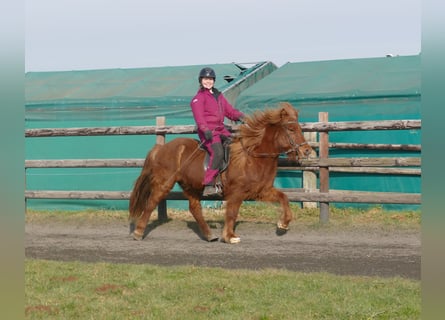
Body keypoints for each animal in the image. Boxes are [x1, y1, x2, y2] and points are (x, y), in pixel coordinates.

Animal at [128, 101, 312, 244]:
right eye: (291, 128)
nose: (307, 151)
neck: (252, 157)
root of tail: (161, 148)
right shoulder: (236, 193)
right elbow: (231, 213)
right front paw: (230, 236)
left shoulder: (262, 191)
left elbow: (284, 198)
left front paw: (284, 224)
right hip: (165, 182)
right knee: (151, 203)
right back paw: (138, 232)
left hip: (190, 186)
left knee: (194, 208)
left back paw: (209, 235)